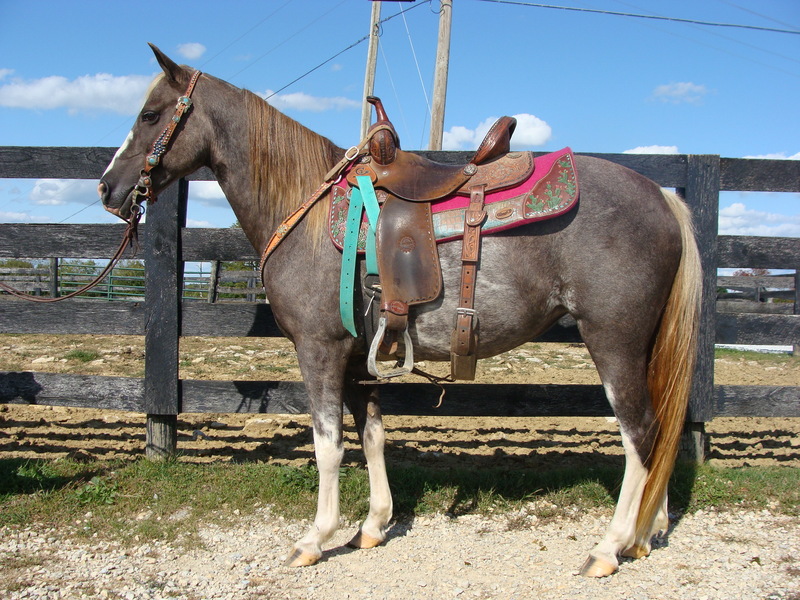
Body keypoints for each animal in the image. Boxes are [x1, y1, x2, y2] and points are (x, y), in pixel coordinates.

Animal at [98, 44, 701, 577]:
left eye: (150, 114)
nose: (108, 188)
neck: (306, 212)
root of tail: (663, 197)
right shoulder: (357, 357)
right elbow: (372, 435)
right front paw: (372, 526)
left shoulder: (319, 351)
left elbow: (327, 445)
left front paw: (314, 539)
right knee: (658, 429)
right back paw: (647, 531)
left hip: (614, 340)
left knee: (639, 431)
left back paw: (610, 547)